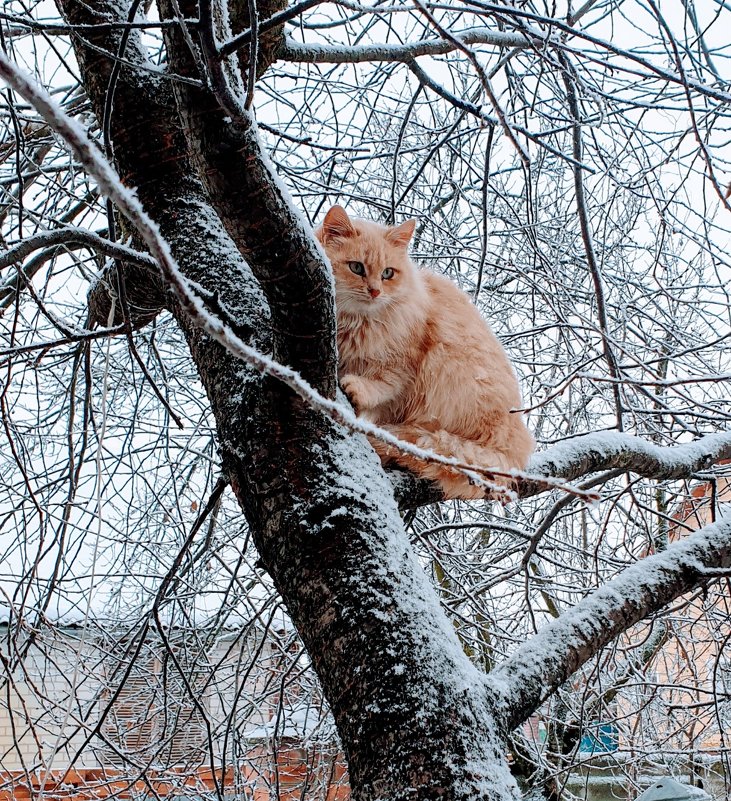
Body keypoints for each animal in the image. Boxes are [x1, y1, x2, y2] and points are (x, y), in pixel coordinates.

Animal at [318, 205, 536, 500]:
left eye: (388, 273)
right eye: (356, 268)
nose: (375, 291)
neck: (354, 323)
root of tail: (514, 450)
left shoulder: (406, 360)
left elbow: (383, 385)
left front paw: (357, 389)